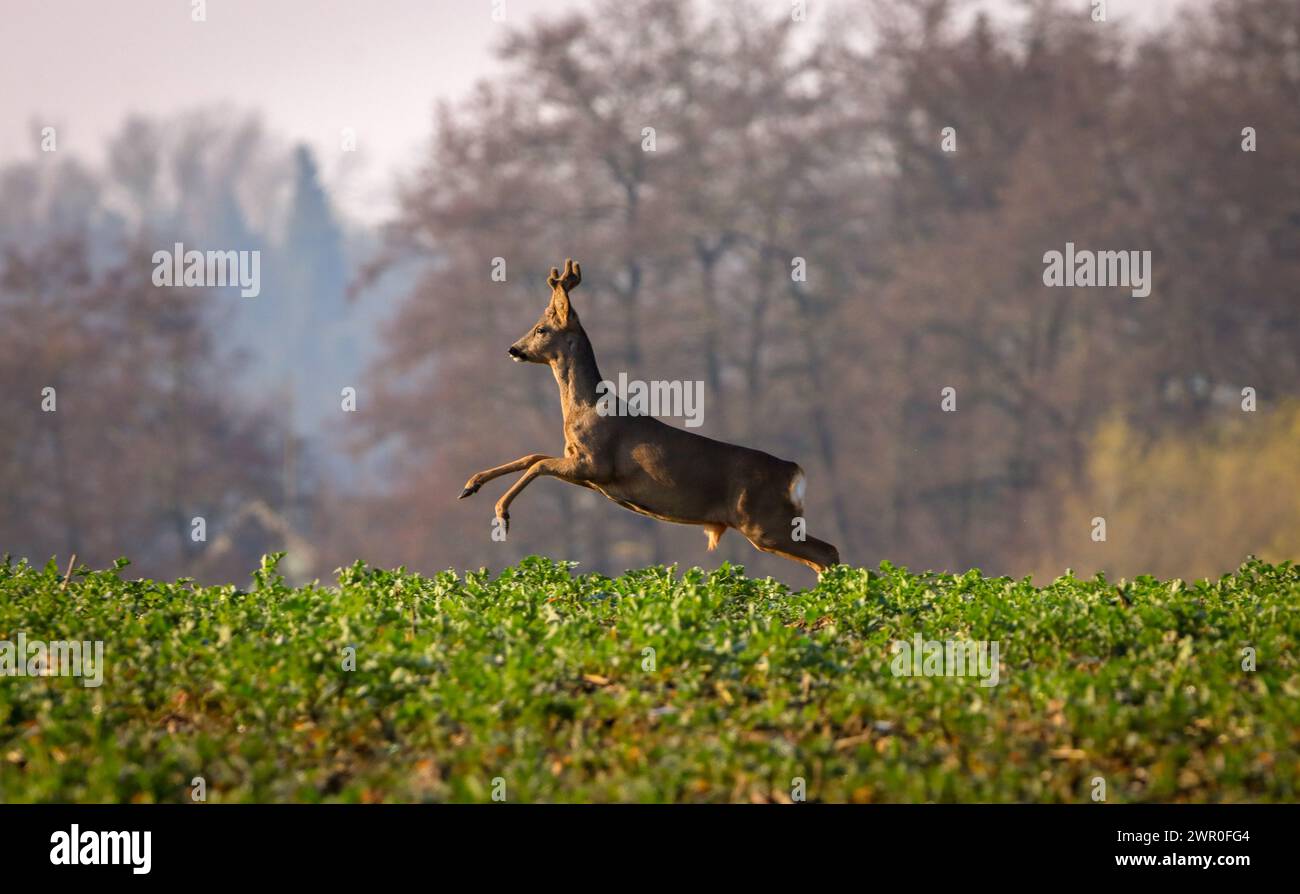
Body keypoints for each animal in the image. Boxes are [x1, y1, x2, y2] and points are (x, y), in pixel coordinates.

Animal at [458, 259, 841, 578]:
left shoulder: (595, 464)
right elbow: (532, 456)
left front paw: (501, 515)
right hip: (769, 525)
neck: (585, 407)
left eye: (540, 329)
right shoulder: (585, 470)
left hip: (765, 521)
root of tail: (794, 471)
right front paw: (470, 485)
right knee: (823, 555)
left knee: (828, 552)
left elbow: (538, 464)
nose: (513, 349)